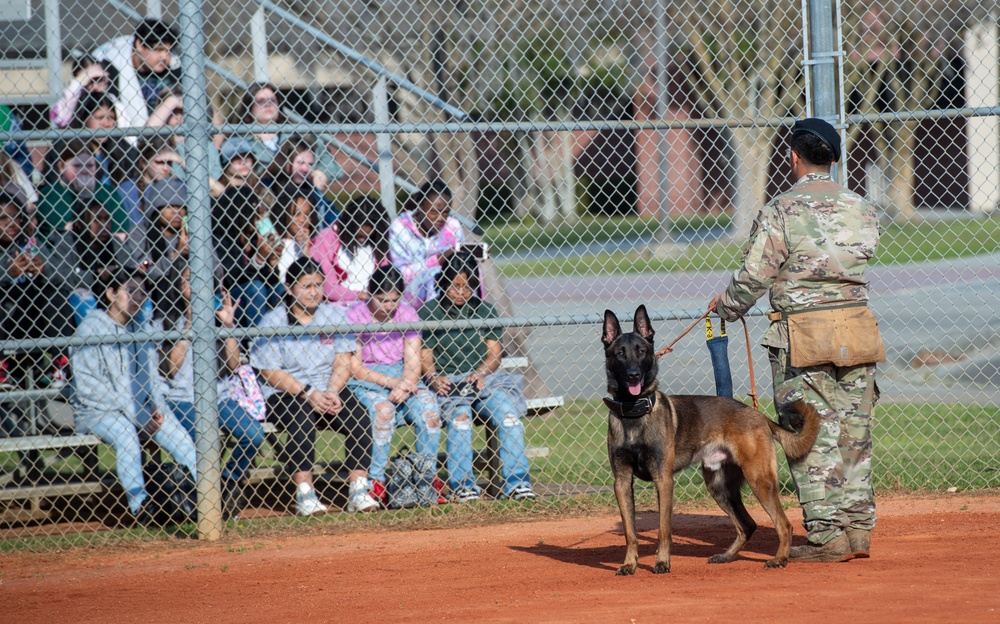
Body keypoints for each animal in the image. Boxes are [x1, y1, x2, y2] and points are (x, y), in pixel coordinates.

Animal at [600, 304, 820, 572]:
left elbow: (663, 529)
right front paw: (629, 564)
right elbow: (630, 533)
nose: (633, 375)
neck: (634, 411)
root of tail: (757, 414)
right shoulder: (621, 482)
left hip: (758, 480)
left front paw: (662, 562)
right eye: (620, 353)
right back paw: (727, 556)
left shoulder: (663, 480)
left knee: (784, 524)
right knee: (747, 524)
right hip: (719, 487)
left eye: (641, 352)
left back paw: (779, 559)